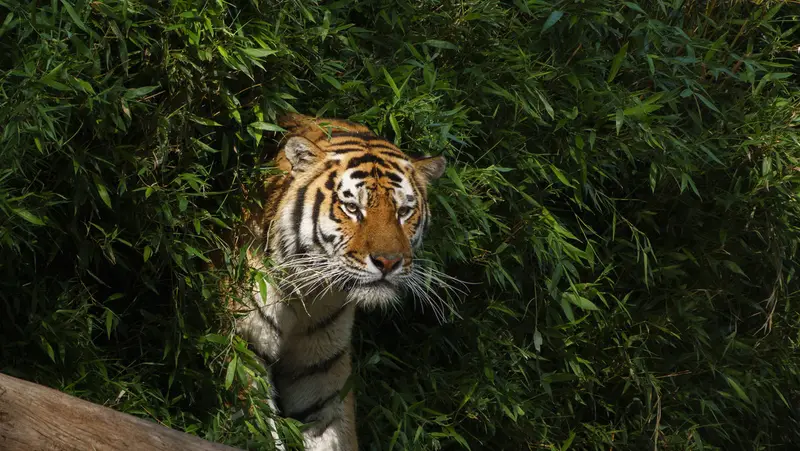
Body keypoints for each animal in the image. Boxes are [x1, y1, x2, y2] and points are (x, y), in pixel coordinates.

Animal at [230, 113, 447, 451]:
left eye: (403, 211)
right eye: (352, 208)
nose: (388, 261)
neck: (308, 294)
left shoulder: (322, 372)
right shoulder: (242, 349)